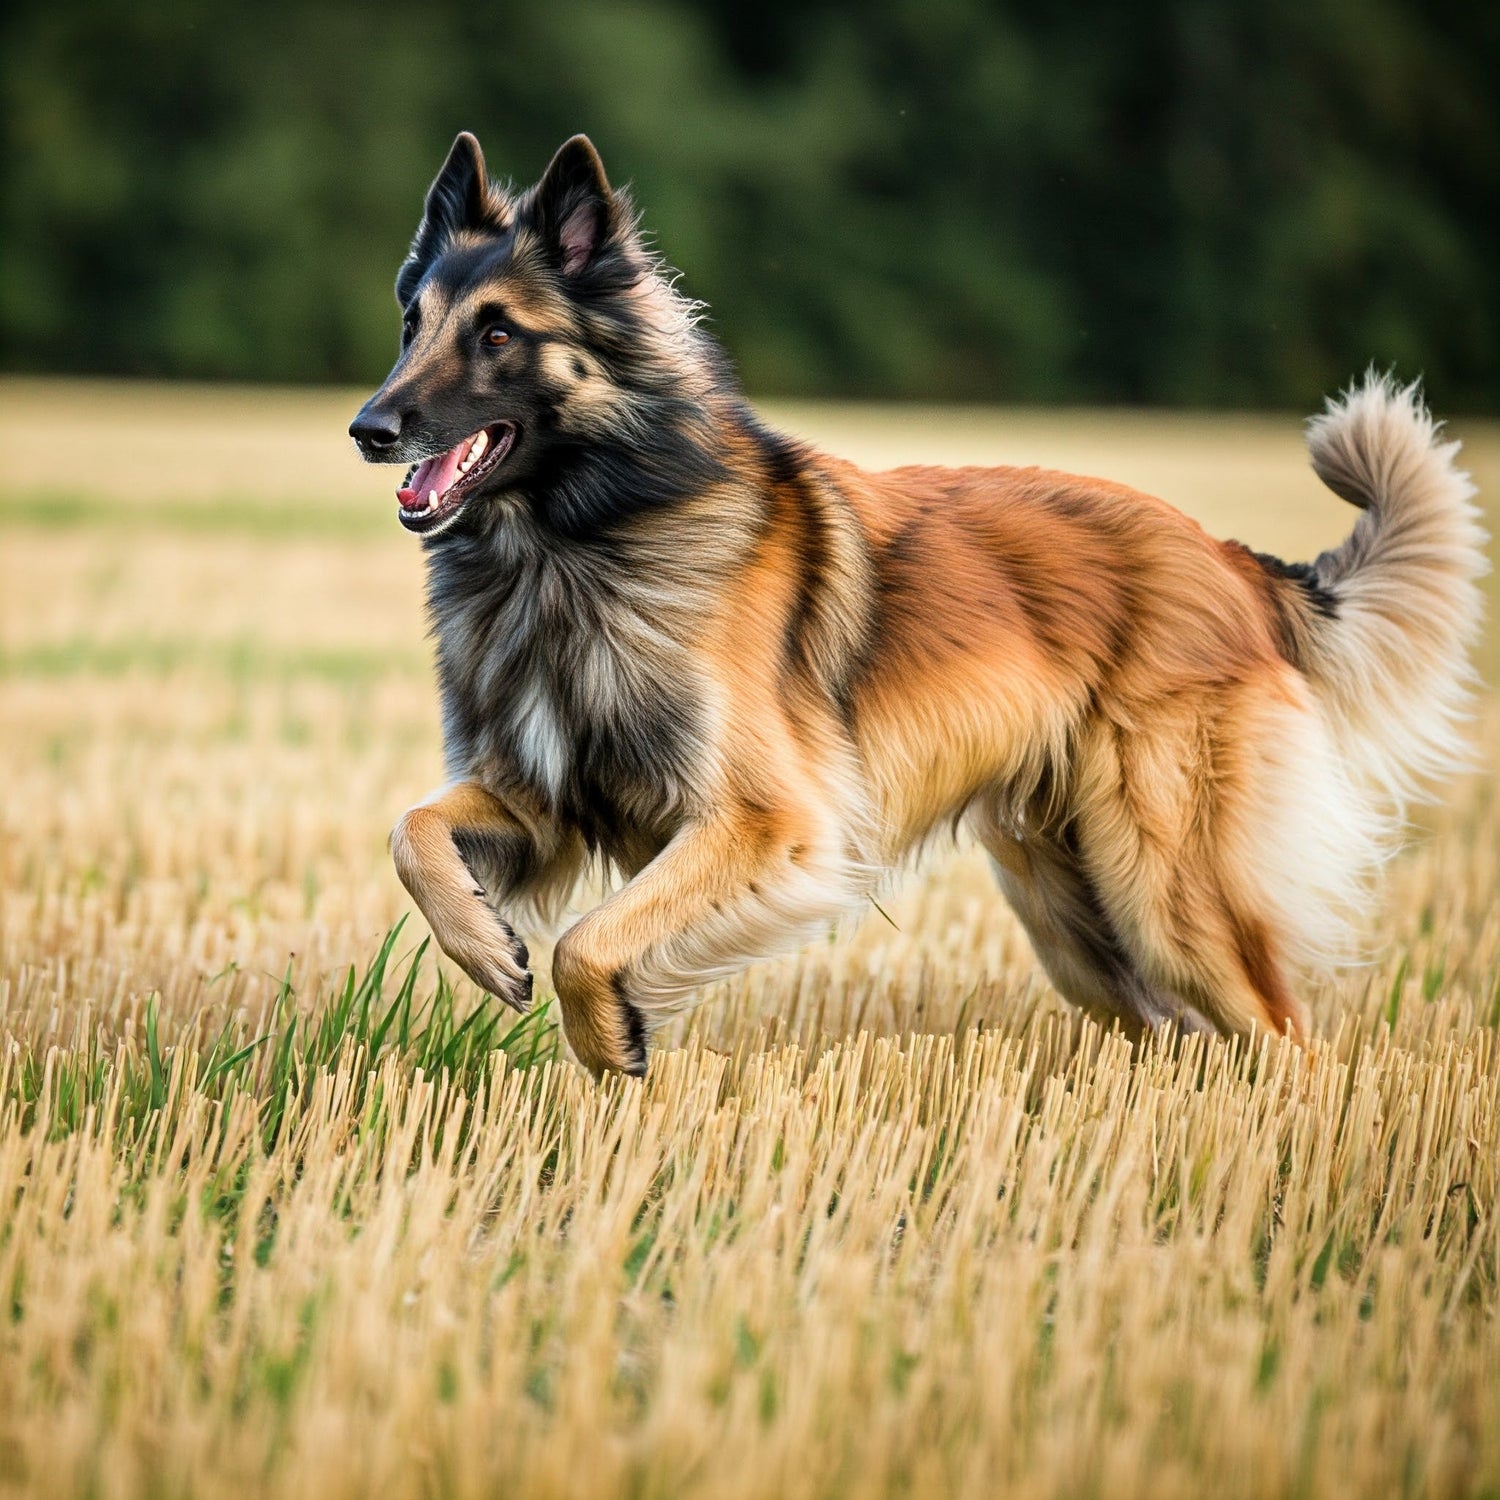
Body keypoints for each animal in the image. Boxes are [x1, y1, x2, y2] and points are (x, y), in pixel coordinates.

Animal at [351, 132, 1488, 1080]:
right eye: (412, 325)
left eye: (499, 334)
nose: (369, 428)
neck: (574, 543)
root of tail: (1230, 559)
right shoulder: (546, 796)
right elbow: (413, 832)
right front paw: (487, 948)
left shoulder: (768, 824)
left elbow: (588, 944)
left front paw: (609, 1044)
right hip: (1081, 918)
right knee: (1178, 1029)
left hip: (1170, 893)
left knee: (1280, 1032)